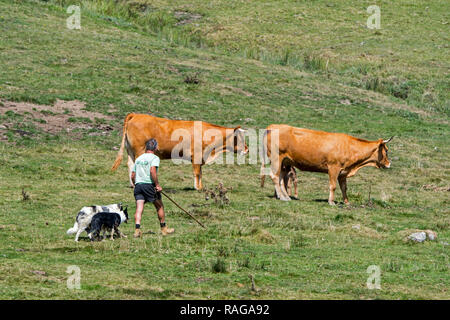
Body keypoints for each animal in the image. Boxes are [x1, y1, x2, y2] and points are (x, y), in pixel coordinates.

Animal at [110, 114, 248, 189]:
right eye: (239, 137)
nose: (247, 149)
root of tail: (136, 115)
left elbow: (200, 173)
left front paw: (201, 186)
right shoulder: (196, 156)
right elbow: (197, 173)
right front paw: (197, 188)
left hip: (131, 150)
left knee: (130, 165)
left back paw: (133, 184)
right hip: (140, 149)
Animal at [260, 124, 394, 204]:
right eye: (386, 150)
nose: (389, 164)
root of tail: (273, 126)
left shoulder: (343, 172)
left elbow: (344, 187)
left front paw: (346, 202)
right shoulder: (333, 168)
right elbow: (333, 186)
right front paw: (331, 202)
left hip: (285, 162)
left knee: (282, 178)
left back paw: (285, 196)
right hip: (276, 158)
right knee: (275, 177)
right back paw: (282, 197)